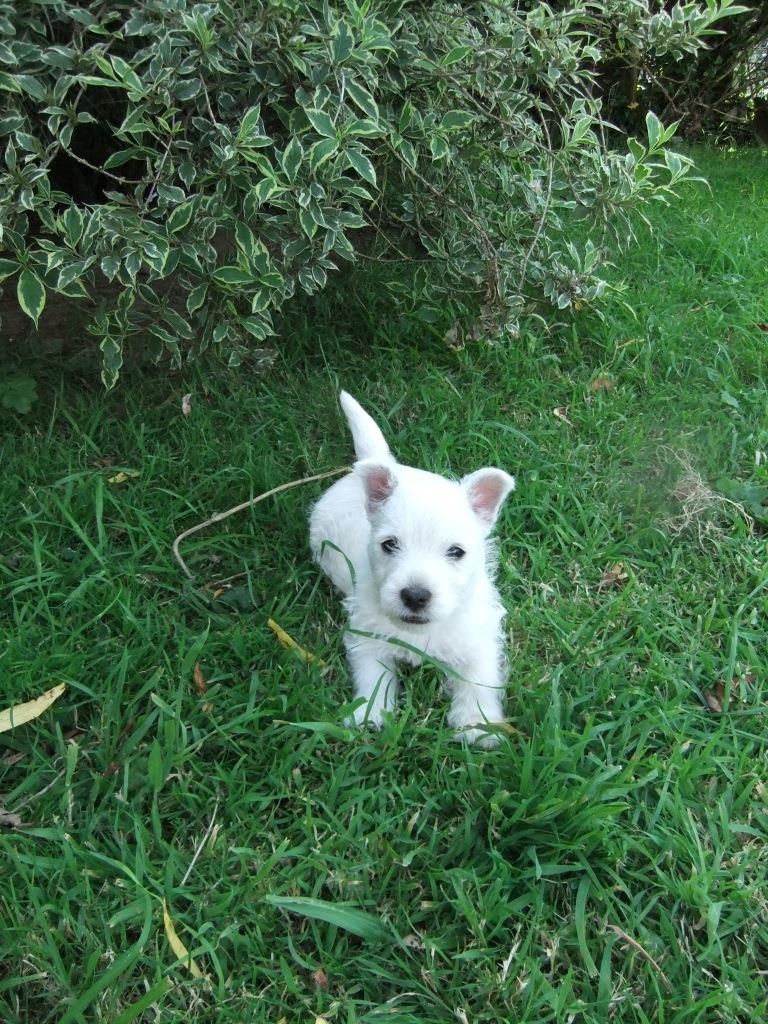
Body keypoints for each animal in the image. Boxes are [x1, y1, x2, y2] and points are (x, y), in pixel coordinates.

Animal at [309, 391, 515, 746]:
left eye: (456, 551)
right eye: (389, 545)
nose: (415, 596)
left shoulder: (479, 636)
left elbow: (478, 677)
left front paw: (477, 724)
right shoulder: (367, 636)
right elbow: (374, 675)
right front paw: (371, 715)